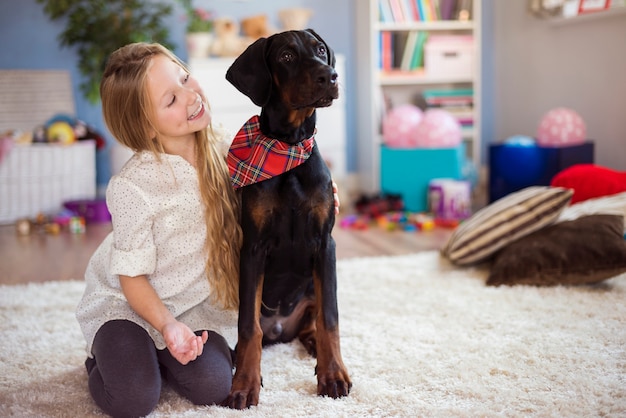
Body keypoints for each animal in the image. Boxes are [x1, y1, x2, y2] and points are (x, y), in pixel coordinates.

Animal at [224, 29, 352, 408]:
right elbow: (248, 326)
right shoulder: (253, 247)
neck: (289, 147)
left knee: (314, 321)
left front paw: (333, 375)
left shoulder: (325, 244)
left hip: (311, 288)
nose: (330, 76)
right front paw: (244, 384)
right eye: (286, 57)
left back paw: (316, 351)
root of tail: (281, 330)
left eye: (321, 50)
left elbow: (330, 318)